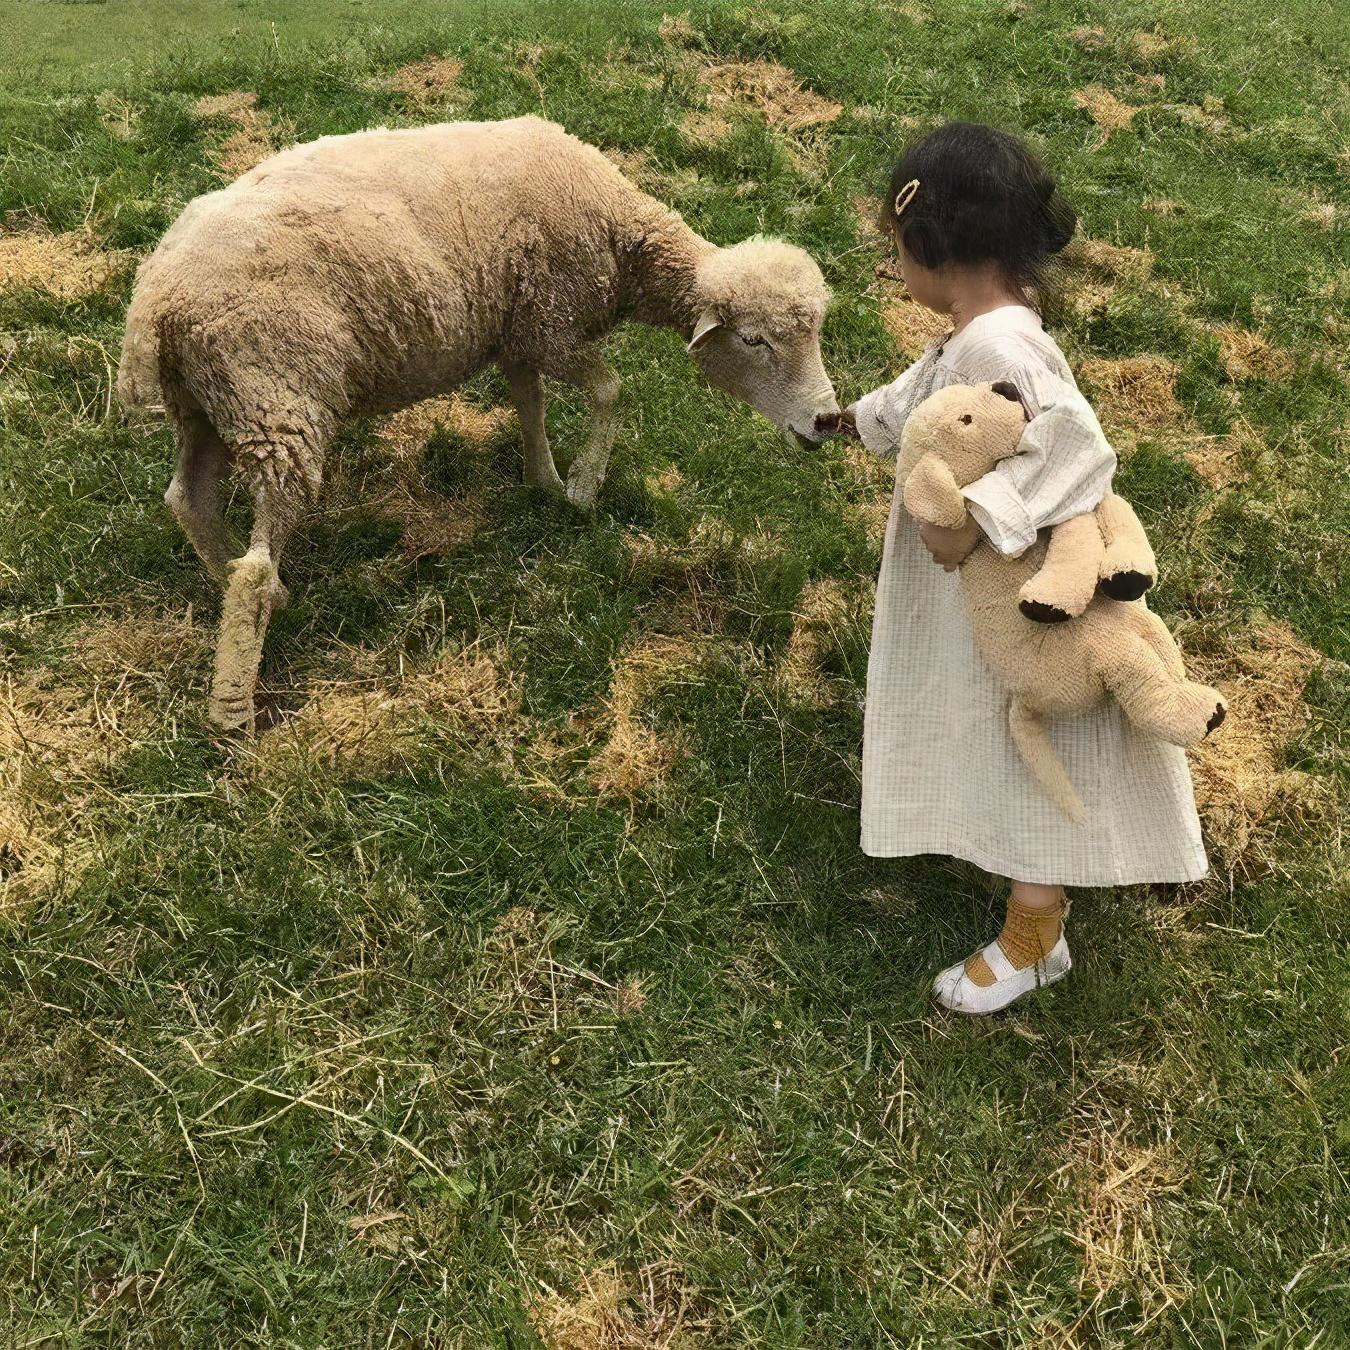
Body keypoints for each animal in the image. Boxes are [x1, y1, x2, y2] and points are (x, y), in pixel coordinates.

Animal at [118, 114, 831, 729]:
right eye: (756, 341)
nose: (825, 420)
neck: (623, 236)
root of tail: (154, 301)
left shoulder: (517, 329)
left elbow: (529, 404)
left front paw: (544, 480)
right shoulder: (551, 324)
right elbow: (609, 390)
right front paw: (583, 488)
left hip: (212, 403)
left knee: (188, 500)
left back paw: (260, 596)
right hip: (276, 397)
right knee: (252, 562)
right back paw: (233, 703)